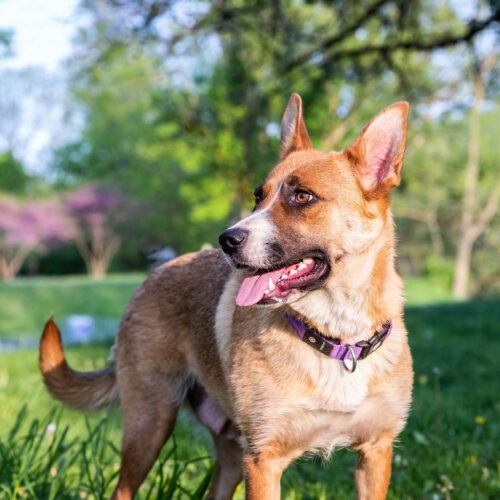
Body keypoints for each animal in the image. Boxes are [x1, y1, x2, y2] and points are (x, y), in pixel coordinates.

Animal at [40, 94, 414, 500]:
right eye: (257, 197)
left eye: (302, 196)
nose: (227, 239)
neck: (338, 337)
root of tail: (150, 277)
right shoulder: (263, 461)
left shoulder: (375, 452)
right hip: (150, 425)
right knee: (123, 488)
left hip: (229, 453)